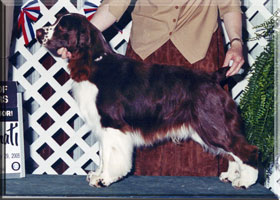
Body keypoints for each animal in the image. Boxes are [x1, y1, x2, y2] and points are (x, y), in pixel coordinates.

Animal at [36, 12, 260, 189]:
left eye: (62, 27)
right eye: (55, 22)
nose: (38, 32)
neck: (94, 63)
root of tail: (213, 77)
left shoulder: (112, 124)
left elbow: (110, 154)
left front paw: (104, 179)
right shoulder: (104, 126)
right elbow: (103, 154)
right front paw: (97, 175)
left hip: (213, 121)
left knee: (247, 150)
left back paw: (244, 181)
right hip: (205, 127)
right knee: (231, 152)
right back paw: (231, 176)